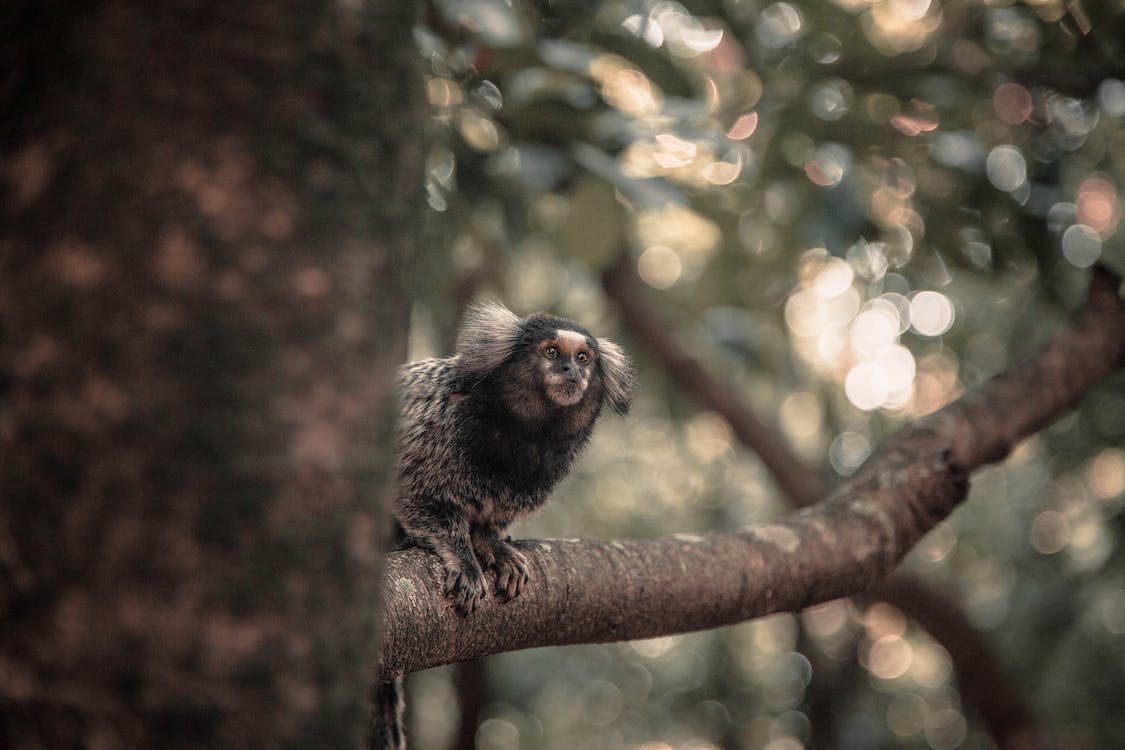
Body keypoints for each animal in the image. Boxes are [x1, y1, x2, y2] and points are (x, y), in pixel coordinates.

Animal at [370, 302, 634, 750]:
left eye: (584, 358)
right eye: (551, 352)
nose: (570, 370)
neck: (520, 431)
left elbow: (490, 522)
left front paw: (493, 546)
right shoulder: (435, 428)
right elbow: (414, 495)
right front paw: (463, 557)